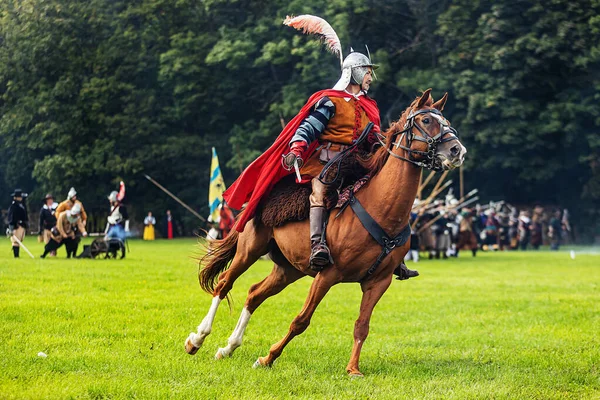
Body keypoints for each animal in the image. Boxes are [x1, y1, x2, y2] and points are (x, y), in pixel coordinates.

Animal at [185, 89, 466, 376]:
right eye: (426, 120)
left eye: (444, 120)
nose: (457, 150)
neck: (381, 208)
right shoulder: (328, 275)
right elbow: (301, 321)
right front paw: (268, 357)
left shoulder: (379, 282)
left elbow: (362, 325)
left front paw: (353, 369)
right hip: (250, 250)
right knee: (224, 283)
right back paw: (197, 339)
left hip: (289, 269)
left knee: (254, 293)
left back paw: (228, 347)